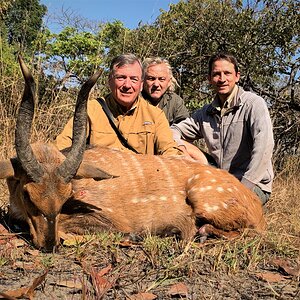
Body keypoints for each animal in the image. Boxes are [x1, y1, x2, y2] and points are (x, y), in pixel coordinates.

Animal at [0, 56, 264, 251]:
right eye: (27, 195)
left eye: (66, 196)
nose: (48, 244)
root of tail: (255, 203)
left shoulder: (107, 219)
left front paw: (137, 236)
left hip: (204, 199)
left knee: (251, 232)